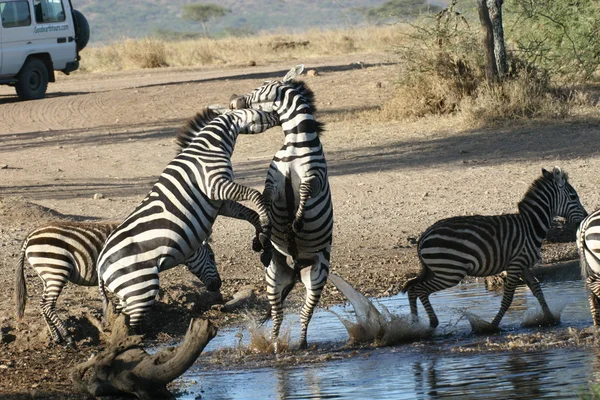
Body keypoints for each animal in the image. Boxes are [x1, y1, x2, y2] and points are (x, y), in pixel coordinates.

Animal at [96, 108, 278, 330]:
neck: (208, 148)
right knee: (129, 325)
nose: (277, 114)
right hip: (140, 286)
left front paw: (261, 238)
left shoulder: (220, 200)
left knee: (121, 320)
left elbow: (248, 213)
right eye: (261, 112)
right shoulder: (216, 185)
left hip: (127, 293)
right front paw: (265, 224)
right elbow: (255, 195)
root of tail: (100, 265)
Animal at [230, 65, 332, 350]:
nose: (233, 100)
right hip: (274, 275)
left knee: (306, 313)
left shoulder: (315, 177)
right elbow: (264, 200)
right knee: (278, 314)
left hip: (317, 275)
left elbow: (305, 193)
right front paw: (263, 232)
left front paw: (296, 222)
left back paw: (302, 343)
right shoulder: (273, 183)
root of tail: (296, 270)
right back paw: (275, 345)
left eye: (260, 86)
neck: (295, 143)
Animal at [404, 167, 584, 330]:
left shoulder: (523, 265)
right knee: (419, 289)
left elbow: (538, 290)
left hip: (436, 270)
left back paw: (414, 325)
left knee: (412, 289)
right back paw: (431, 322)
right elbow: (508, 298)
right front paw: (492, 326)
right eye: (573, 197)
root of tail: (424, 235)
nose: (585, 216)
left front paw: (550, 319)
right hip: (450, 271)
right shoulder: (516, 264)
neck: (531, 226)